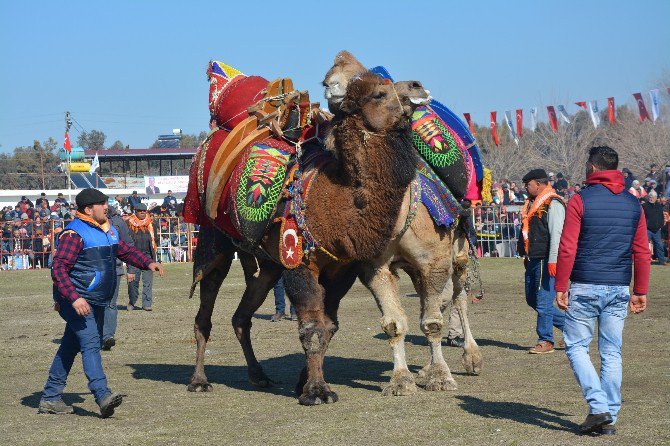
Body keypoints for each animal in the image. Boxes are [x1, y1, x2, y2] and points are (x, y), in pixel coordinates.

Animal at [189, 71, 430, 406]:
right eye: (379, 94)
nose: (417, 87)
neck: (339, 200)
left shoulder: (341, 271)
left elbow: (329, 327)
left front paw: (304, 382)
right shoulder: (301, 263)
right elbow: (312, 328)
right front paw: (317, 391)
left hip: (268, 266)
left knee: (241, 317)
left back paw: (259, 375)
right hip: (214, 244)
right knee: (204, 311)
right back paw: (199, 380)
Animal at [322, 50, 484, 396]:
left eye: (379, 88)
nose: (416, 86)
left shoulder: (434, 261)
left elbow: (432, 322)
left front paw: (440, 376)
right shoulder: (374, 267)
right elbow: (394, 324)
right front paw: (400, 380)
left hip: (460, 247)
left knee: (460, 295)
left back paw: (472, 358)